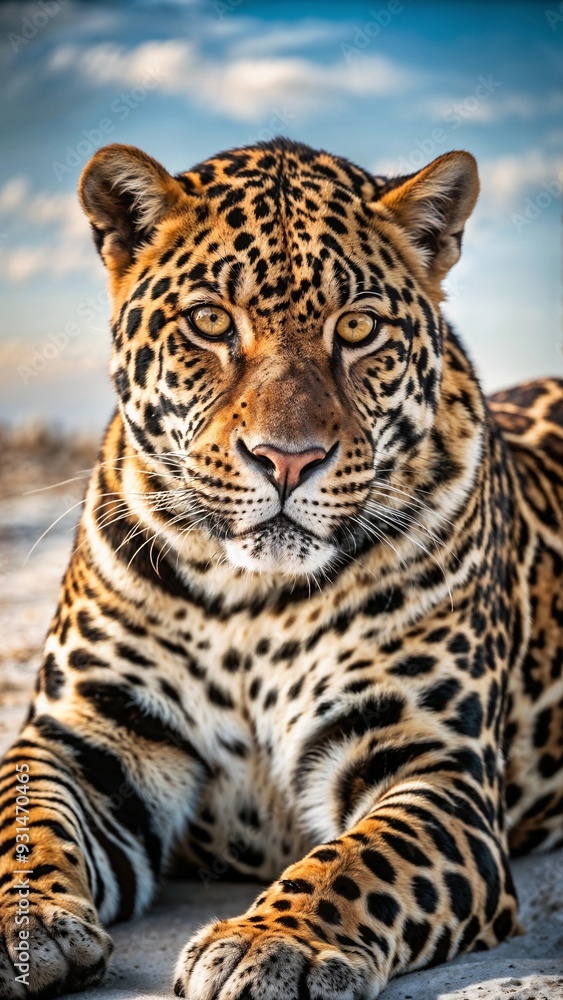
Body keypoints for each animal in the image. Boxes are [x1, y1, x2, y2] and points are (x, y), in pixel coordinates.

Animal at [0, 137, 562, 1000]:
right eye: (209, 322)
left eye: (357, 327)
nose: (287, 460)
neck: (247, 597)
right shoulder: (82, 736)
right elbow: (19, 818)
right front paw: (21, 929)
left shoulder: (436, 768)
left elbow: (358, 864)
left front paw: (273, 943)